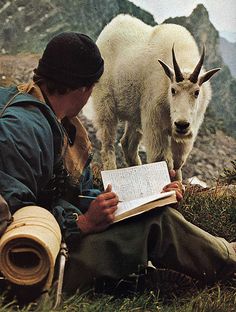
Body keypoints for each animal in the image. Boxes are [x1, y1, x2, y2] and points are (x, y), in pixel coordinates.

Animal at [91, 14, 219, 179]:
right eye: (173, 90)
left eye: (196, 92)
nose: (181, 124)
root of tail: (110, 26)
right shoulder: (154, 120)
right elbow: (162, 159)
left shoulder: (188, 131)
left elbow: (177, 164)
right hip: (105, 101)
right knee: (108, 143)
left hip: (135, 115)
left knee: (127, 144)